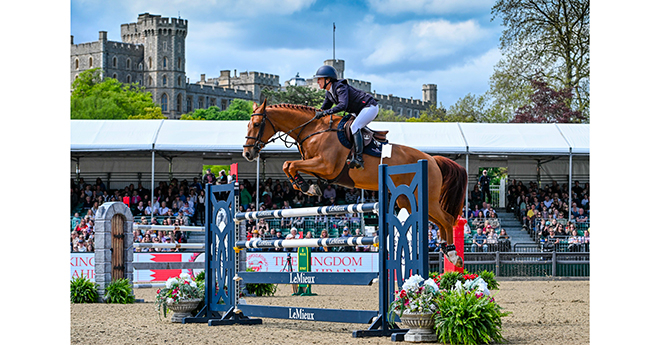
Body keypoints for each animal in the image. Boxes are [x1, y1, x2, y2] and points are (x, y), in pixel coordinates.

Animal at [244, 99, 470, 266]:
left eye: (256, 124)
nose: (247, 154)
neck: (313, 131)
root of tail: (432, 159)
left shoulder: (326, 166)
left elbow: (289, 164)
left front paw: (307, 187)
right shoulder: (317, 166)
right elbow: (288, 165)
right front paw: (307, 186)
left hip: (426, 199)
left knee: (447, 220)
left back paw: (453, 255)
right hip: (408, 201)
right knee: (440, 222)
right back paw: (446, 250)